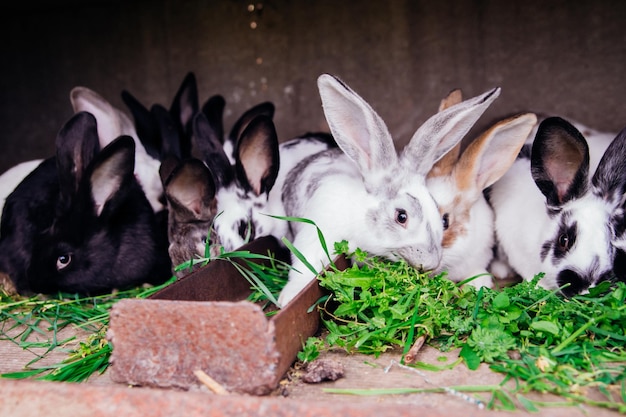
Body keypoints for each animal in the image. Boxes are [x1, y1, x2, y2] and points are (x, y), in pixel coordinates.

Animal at [276, 74, 500, 306]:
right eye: (401, 216)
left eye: (437, 211)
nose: (430, 262)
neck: (357, 215)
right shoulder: (318, 233)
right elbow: (305, 266)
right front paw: (287, 298)